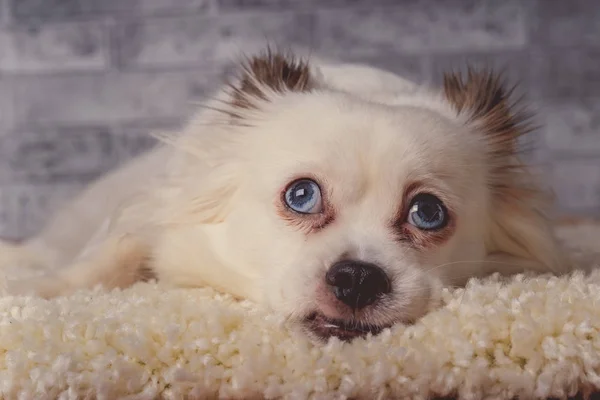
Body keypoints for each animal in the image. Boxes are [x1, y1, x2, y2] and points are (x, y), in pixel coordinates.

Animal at [0, 47, 568, 340]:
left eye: (427, 212)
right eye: (301, 196)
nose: (358, 276)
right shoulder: (151, 210)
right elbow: (107, 257)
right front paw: (36, 291)